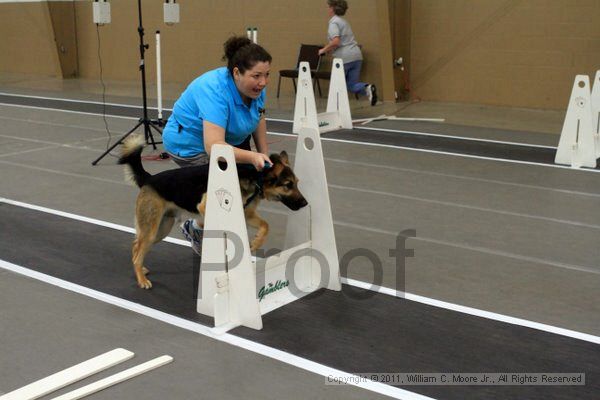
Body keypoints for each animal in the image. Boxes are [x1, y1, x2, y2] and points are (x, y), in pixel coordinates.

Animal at [120, 134, 312, 288]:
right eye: (288, 185)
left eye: (296, 183)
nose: (305, 203)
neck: (255, 178)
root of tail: (150, 179)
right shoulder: (206, 207)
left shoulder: (247, 214)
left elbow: (266, 225)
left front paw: (257, 242)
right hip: (153, 230)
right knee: (138, 251)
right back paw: (141, 280)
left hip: (161, 230)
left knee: (135, 246)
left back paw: (141, 269)